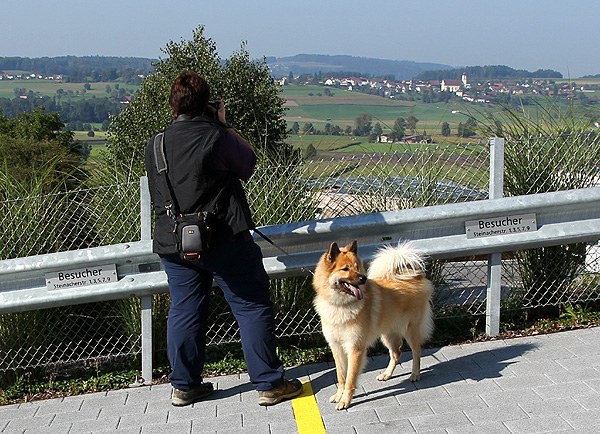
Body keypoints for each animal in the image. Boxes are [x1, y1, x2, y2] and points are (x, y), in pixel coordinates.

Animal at [312, 241, 434, 410]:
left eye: (357, 266)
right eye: (345, 269)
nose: (363, 278)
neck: (341, 305)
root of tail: (414, 277)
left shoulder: (355, 348)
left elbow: (350, 378)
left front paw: (345, 400)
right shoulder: (336, 347)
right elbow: (341, 376)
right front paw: (338, 395)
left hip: (411, 330)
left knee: (417, 352)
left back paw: (415, 374)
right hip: (387, 334)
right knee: (396, 353)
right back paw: (386, 374)